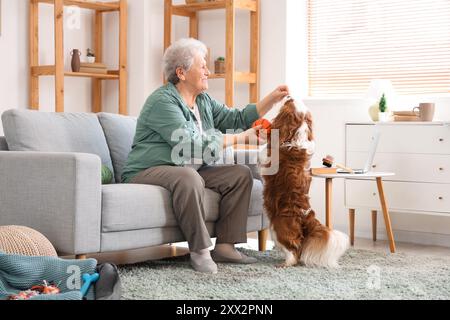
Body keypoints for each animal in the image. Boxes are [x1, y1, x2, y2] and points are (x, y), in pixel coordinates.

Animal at [260, 97, 348, 268]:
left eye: (289, 102)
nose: (288, 96)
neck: (297, 132)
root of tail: (306, 214)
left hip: (278, 227)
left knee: (293, 248)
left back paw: (285, 263)